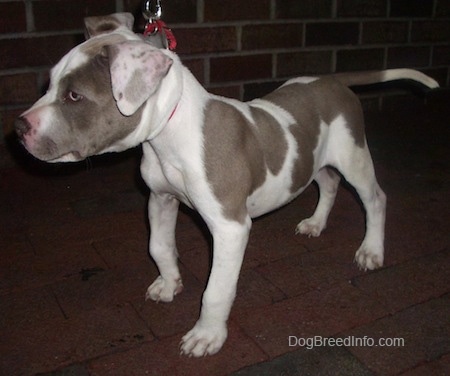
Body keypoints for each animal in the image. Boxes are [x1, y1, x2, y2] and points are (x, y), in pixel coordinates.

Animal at [14, 13, 440, 356]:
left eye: (74, 96)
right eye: (48, 84)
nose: (18, 128)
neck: (168, 132)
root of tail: (332, 81)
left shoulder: (229, 227)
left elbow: (215, 290)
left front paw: (206, 336)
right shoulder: (160, 199)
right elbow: (159, 246)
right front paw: (168, 284)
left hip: (354, 156)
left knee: (375, 198)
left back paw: (371, 250)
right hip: (309, 157)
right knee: (328, 182)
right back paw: (316, 223)